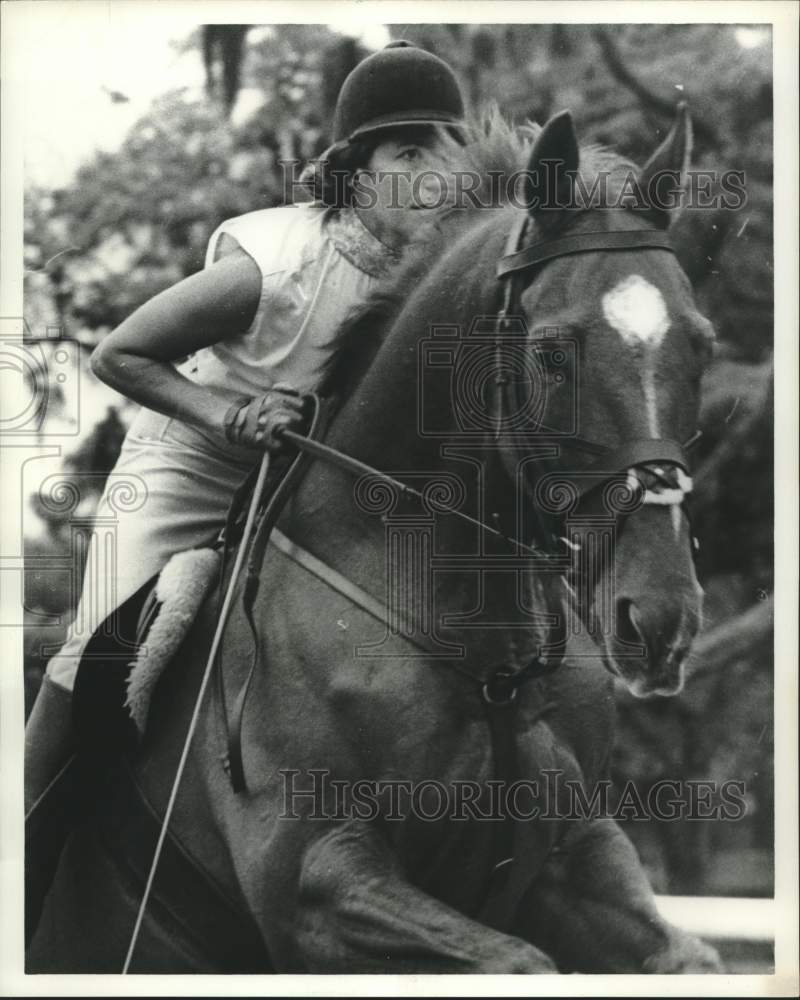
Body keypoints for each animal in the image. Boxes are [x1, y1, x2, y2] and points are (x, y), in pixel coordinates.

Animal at [28, 111, 720, 976]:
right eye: (552, 353)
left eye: (701, 346)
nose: (658, 623)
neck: (481, 646)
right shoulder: (319, 884)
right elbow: (518, 960)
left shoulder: (573, 852)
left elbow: (685, 959)